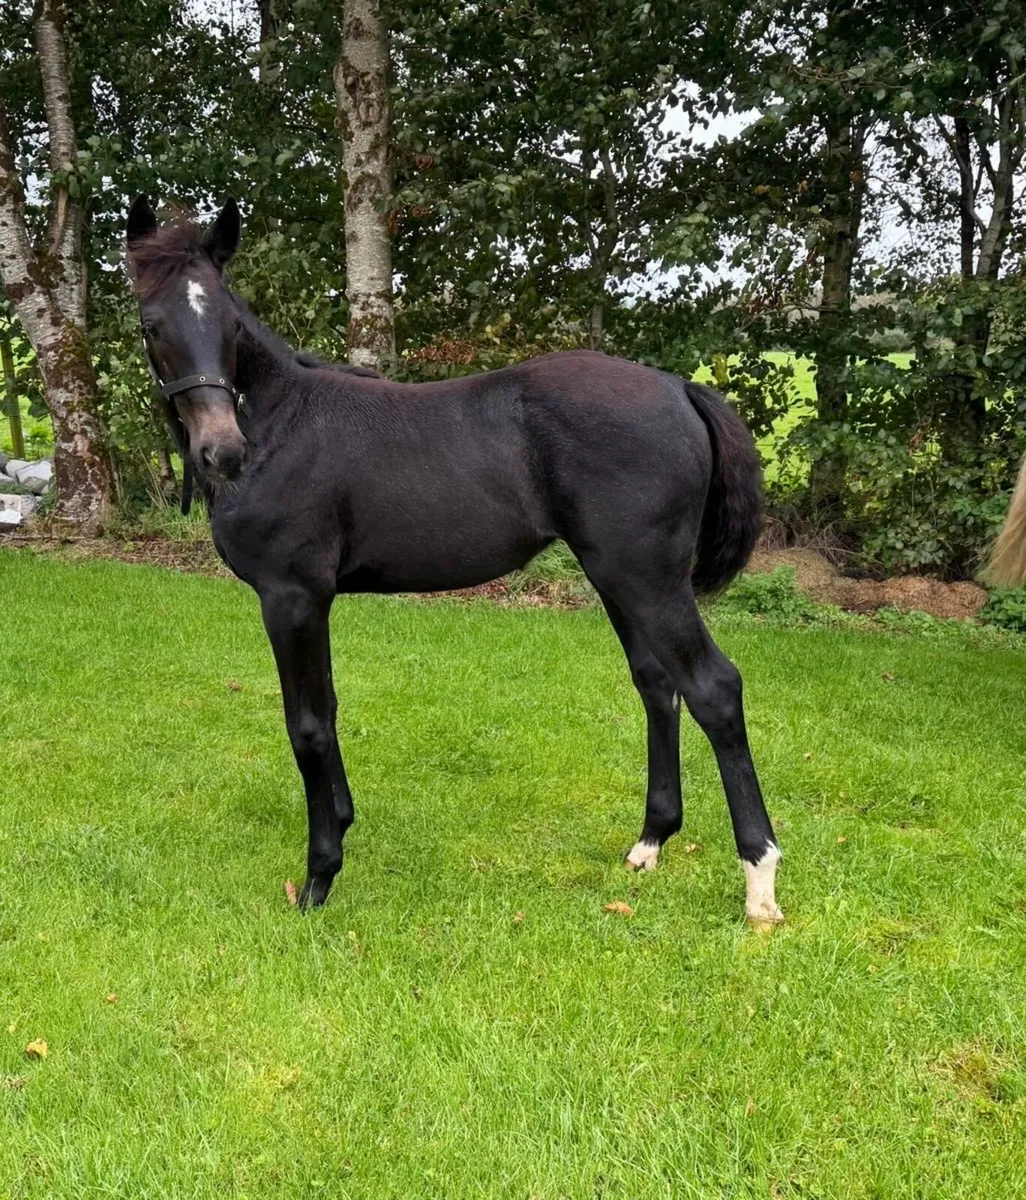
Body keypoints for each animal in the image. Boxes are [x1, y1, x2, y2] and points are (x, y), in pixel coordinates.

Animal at [126, 195, 783, 927]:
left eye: (230, 322)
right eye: (153, 324)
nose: (223, 452)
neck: (278, 426)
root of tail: (677, 388)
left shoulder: (290, 596)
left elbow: (307, 727)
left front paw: (321, 875)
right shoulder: (313, 602)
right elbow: (328, 708)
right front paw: (343, 822)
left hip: (648, 579)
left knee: (713, 689)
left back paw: (760, 884)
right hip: (618, 578)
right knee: (657, 684)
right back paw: (650, 843)